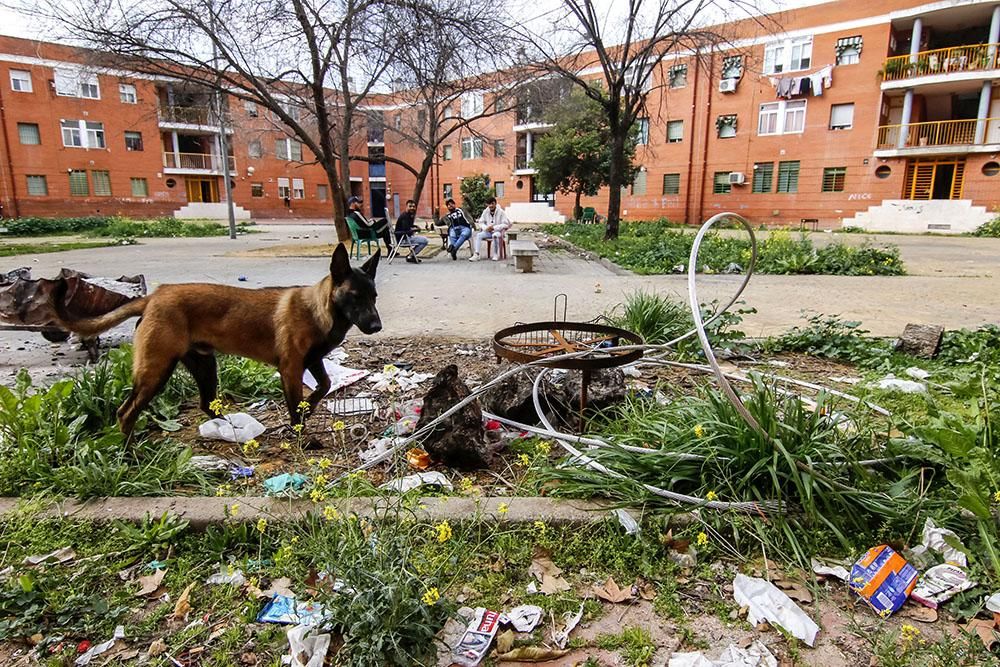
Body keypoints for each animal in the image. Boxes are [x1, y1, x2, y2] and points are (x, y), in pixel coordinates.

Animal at [53, 243, 382, 436]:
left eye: (374, 297)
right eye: (355, 296)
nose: (377, 325)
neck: (319, 310)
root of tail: (154, 297)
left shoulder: (312, 360)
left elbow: (323, 386)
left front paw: (310, 407)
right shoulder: (290, 369)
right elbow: (296, 406)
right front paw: (301, 433)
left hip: (205, 365)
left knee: (206, 404)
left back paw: (233, 429)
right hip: (156, 371)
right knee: (125, 412)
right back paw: (127, 454)